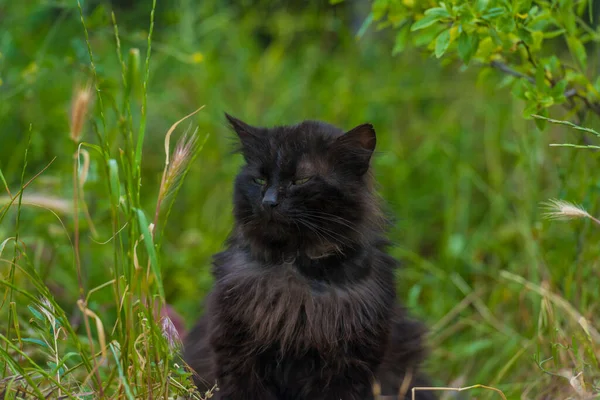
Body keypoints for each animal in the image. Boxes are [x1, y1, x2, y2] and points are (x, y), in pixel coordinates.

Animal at [184, 114, 436, 398]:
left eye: (301, 180)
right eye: (259, 180)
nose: (268, 202)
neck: (295, 271)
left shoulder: (348, 365)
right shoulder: (235, 354)